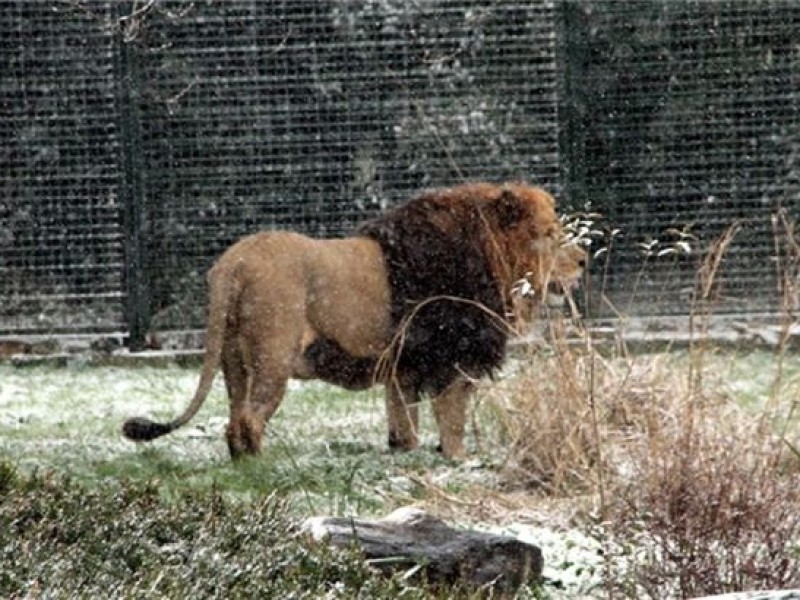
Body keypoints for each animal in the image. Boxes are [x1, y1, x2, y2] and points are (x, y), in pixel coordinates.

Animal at [122, 183, 584, 460]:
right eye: (548, 233)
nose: (583, 260)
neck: (491, 257)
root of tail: (233, 263)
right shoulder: (452, 360)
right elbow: (451, 420)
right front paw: (459, 461)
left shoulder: (403, 367)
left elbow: (403, 423)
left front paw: (405, 453)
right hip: (274, 354)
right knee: (250, 419)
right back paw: (264, 467)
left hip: (233, 361)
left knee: (233, 418)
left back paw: (241, 465)